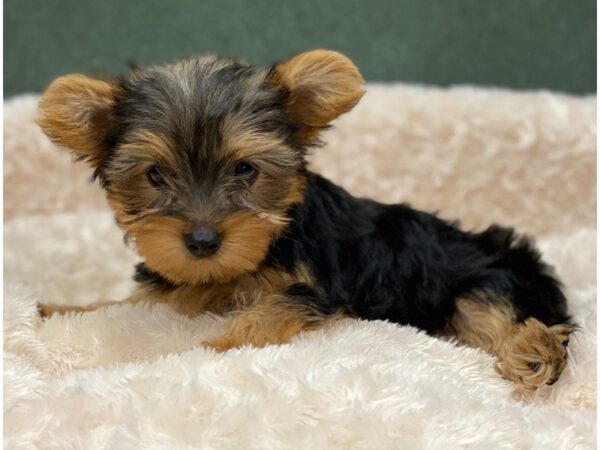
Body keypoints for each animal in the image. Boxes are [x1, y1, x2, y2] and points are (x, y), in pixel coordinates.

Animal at [37, 48, 572, 386]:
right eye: (155, 175)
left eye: (246, 170)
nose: (203, 241)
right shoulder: (173, 288)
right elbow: (126, 303)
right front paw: (58, 309)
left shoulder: (315, 290)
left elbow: (269, 311)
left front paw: (213, 347)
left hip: (487, 281)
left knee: (509, 318)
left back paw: (533, 354)